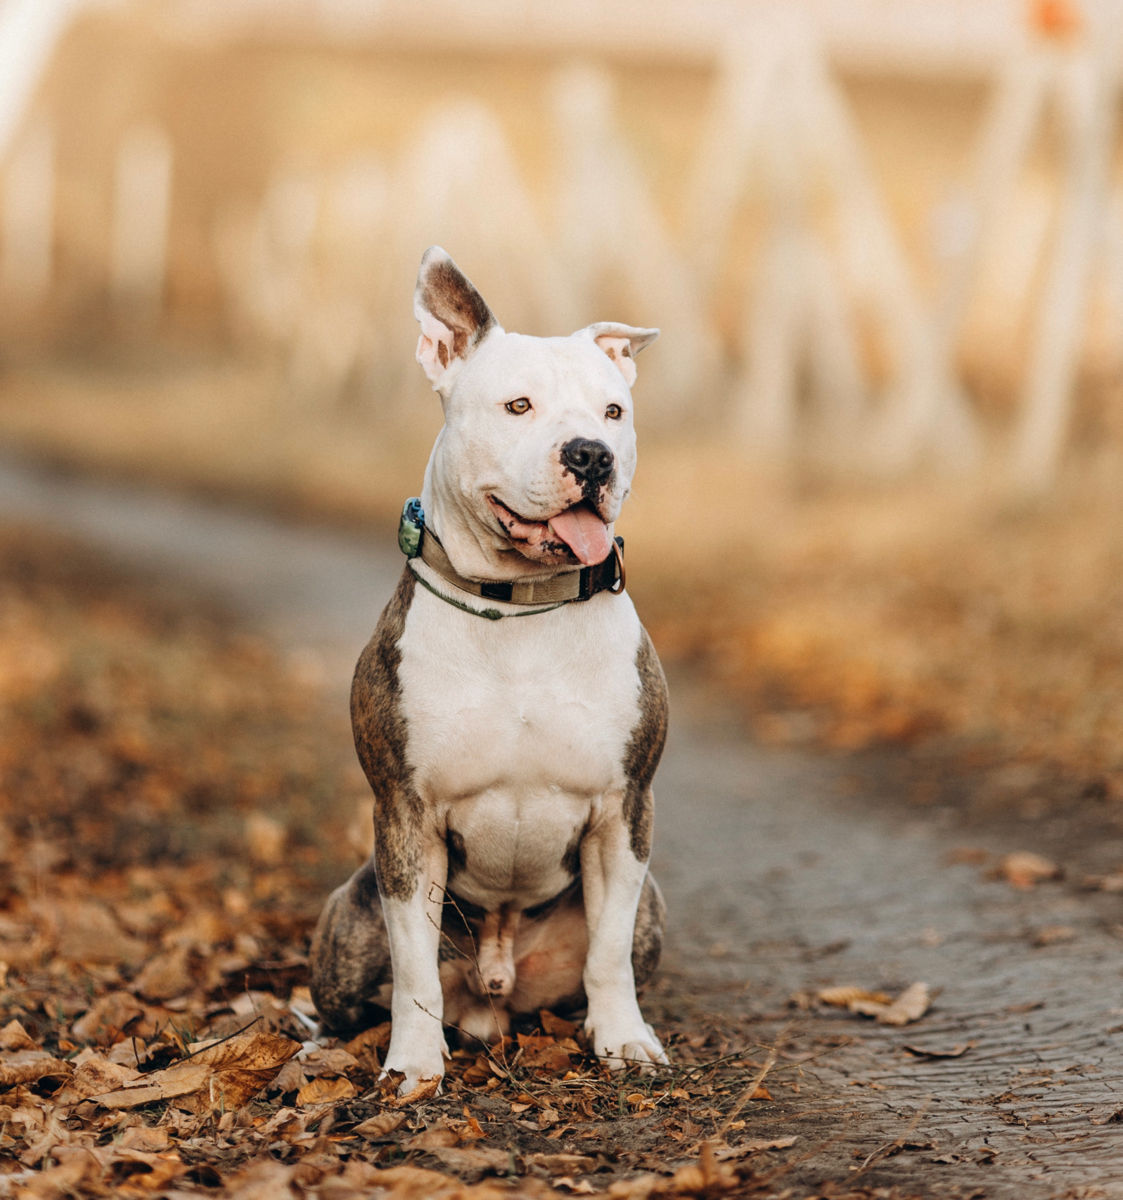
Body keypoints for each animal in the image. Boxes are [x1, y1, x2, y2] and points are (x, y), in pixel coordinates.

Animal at [307, 246, 667, 1099]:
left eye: (613, 413)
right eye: (518, 406)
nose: (590, 455)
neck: (522, 608)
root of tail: (495, 992)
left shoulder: (623, 814)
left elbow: (608, 953)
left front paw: (624, 1041)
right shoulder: (405, 818)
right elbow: (412, 970)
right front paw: (412, 1065)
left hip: (652, 912)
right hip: (351, 920)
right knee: (353, 1000)